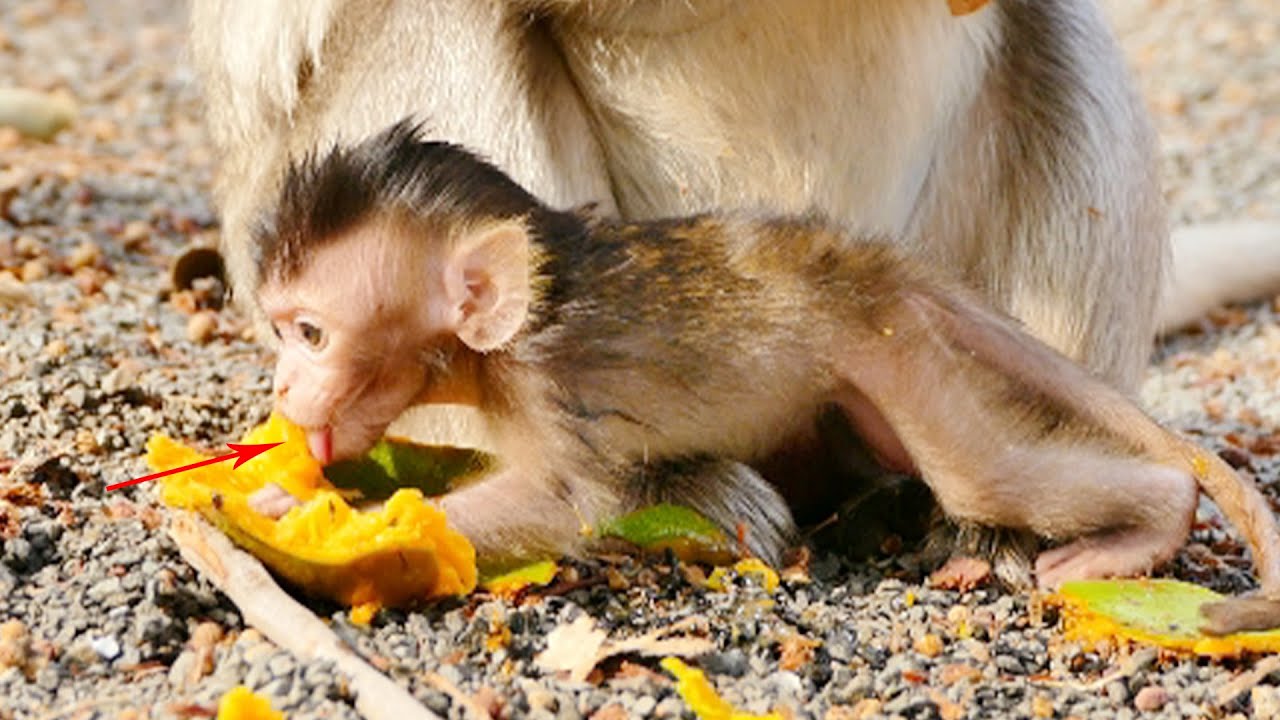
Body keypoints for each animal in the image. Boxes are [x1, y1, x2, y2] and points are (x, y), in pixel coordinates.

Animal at [253, 122, 1280, 635]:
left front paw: (333, 531)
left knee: (984, 474)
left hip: (899, 351)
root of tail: (867, 263)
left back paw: (1152, 519)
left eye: (310, 332)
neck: (503, 340)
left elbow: (559, 502)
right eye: (281, 331)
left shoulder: (548, 385)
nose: (284, 392)